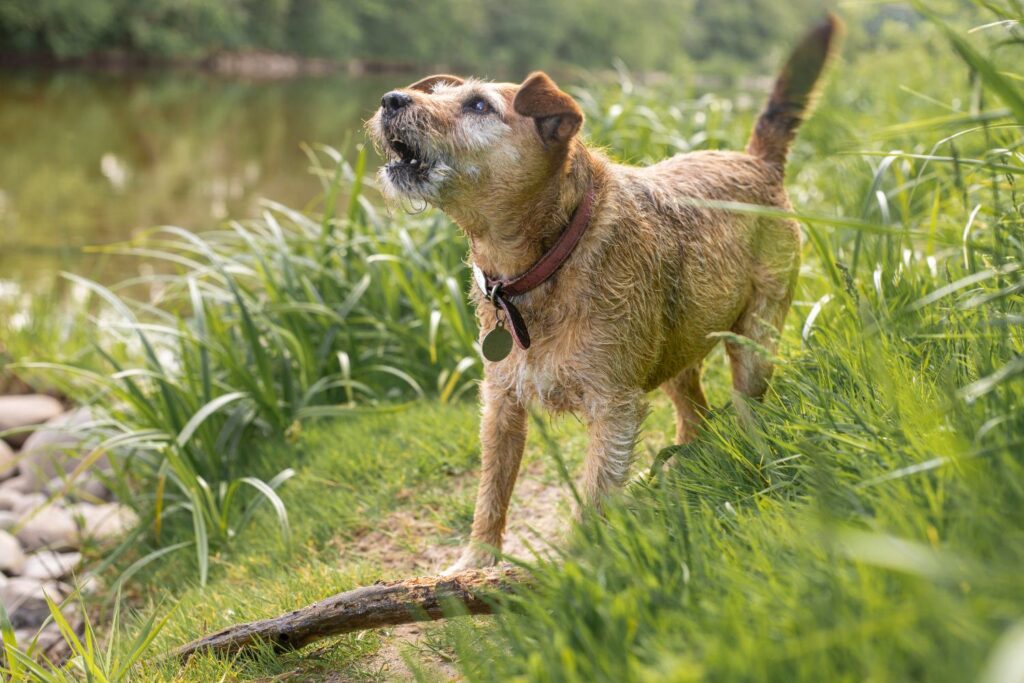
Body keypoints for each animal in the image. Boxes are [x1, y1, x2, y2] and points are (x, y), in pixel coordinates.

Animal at [368, 15, 839, 573]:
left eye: (479, 106)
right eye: (436, 93)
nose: (391, 98)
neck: (542, 263)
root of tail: (756, 161)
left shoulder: (612, 408)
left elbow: (593, 494)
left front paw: (578, 566)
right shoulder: (501, 404)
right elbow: (491, 492)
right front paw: (474, 565)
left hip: (754, 343)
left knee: (745, 404)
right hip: (674, 352)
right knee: (694, 416)